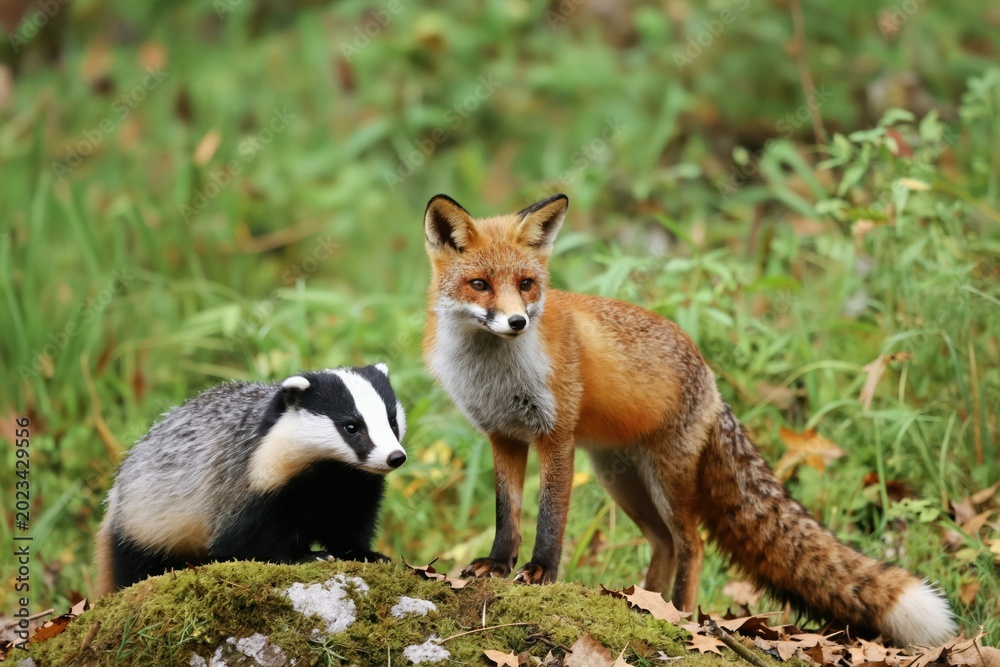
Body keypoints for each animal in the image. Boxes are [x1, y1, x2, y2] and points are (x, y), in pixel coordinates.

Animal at [421, 193, 956, 647]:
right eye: (480, 285)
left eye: (526, 285)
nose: (518, 322)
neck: (495, 372)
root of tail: (712, 381)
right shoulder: (502, 435)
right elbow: (505, 513)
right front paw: (497, 564)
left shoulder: (556, 436)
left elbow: (550, 518)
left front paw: (540, 573)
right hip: (622, 480)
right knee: (663, 544)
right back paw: (643, 602)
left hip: (665, 479)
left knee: (691, 544)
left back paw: (678, 613)